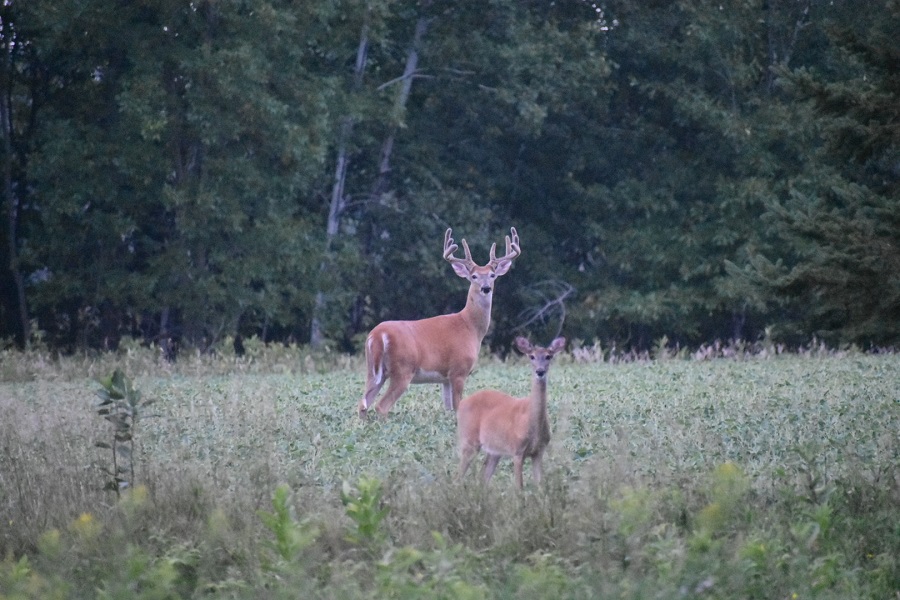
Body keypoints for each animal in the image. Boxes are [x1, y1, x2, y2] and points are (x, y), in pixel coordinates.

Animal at [357, 227, 521, 418]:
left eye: (492, 275)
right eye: (473, 276)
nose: (486, 288)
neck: (470, 326)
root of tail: (377, 335)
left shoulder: (445, 378)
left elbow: (448, 408)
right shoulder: (459, 370)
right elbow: (458, 407)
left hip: (373, 370)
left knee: (362, 404)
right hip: (403, 369)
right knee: (381, 406)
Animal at [456, 336, 566, 488]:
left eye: (548, 356)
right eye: (531, 356)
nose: (540, 371)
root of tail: (461, 404)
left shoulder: (539, 451)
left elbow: (540, 485)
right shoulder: (517, 451)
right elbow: (519, 487)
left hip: (494, 451)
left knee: (483, 479)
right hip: (468, 440)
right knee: (458, 477)